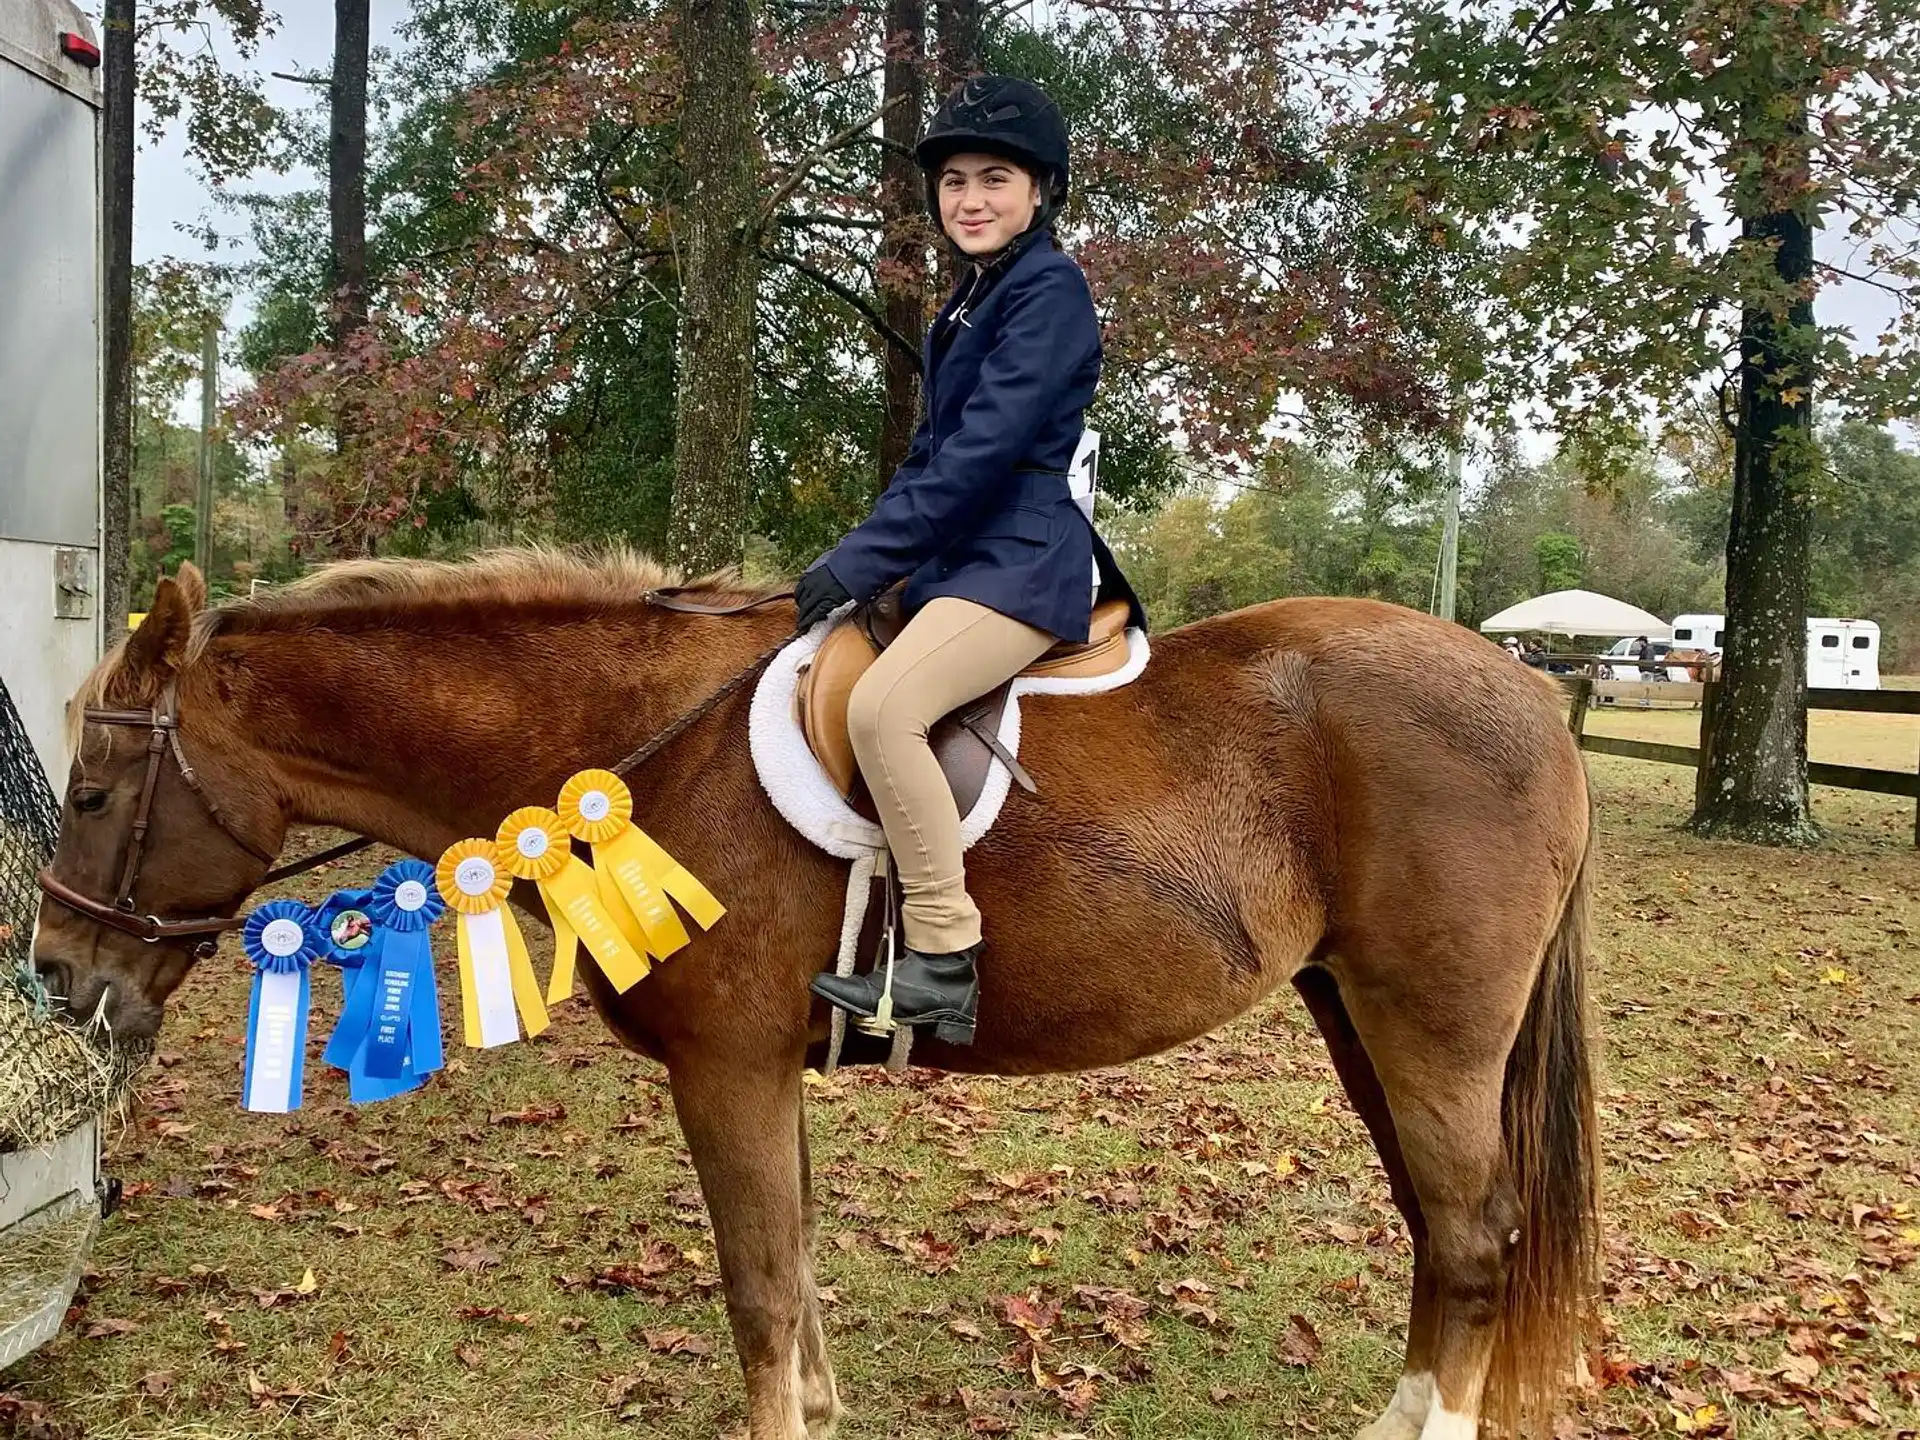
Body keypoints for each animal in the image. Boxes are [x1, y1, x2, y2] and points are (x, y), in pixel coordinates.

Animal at [32, 553, 1598, 1440]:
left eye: (96, 791)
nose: (57, 980)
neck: (642, 746)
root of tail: (1535, 693)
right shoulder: (764, 1070)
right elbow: (794, 1265)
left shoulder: (723, 1068)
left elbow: (760, 1290)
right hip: (1361, 1021)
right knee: (1443, 1233)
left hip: (1433, 1032)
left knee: (1474, 1237)